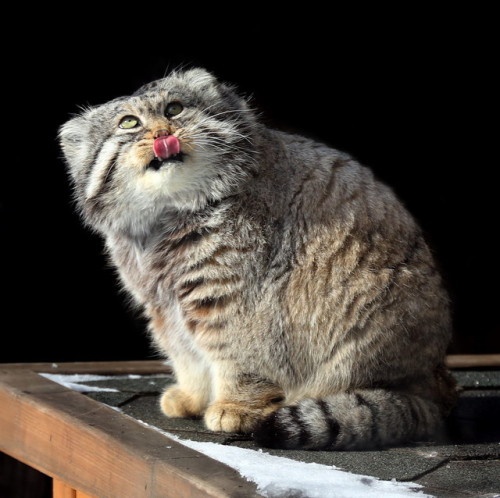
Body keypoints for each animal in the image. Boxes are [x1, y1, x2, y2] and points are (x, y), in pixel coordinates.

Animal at [59, 67, 458, 452]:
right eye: (129, 123)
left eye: (174, 109)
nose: (163, 133)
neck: (171, 214)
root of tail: (436, 388)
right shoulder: (164, 307)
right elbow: (185, 354)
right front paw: (192, 396)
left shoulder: (234, 298)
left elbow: (239, 355)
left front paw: (236, 406)